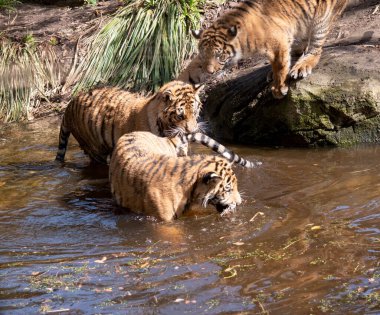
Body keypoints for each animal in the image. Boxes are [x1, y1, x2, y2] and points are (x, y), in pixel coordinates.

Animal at [193, 0, 348, 99]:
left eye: (219, 56)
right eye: (203, 56)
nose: (209, 72)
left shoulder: (279, 43)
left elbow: (280, 66)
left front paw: (279, 89)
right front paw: (274, 75)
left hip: (321, 20)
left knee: (316, 50)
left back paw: (302, 67)